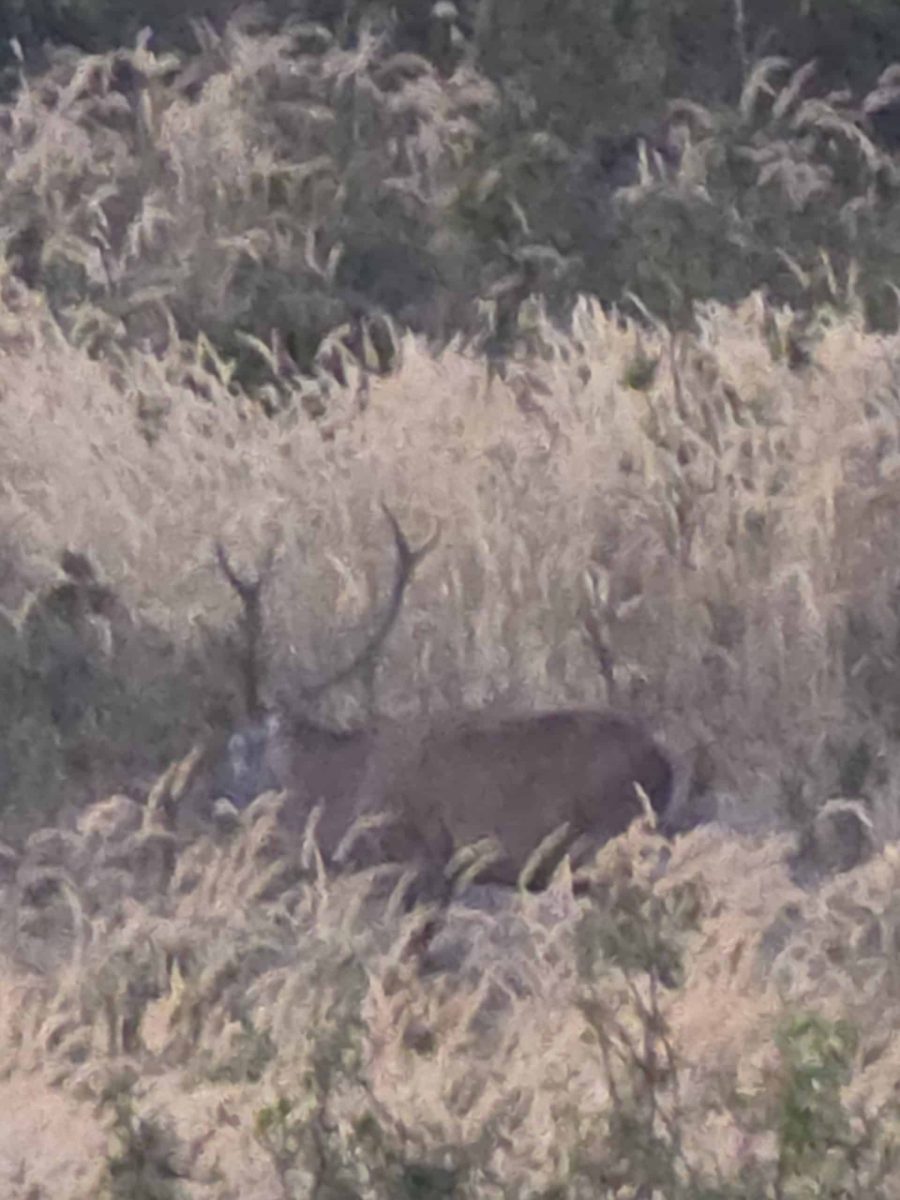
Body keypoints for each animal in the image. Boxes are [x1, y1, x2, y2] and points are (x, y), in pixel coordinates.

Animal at [207, 504, 677, 947]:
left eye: (238, 750)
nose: (222, 804)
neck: (342, 782)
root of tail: (664, 763)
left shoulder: (422, 860)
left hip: (610, 835)